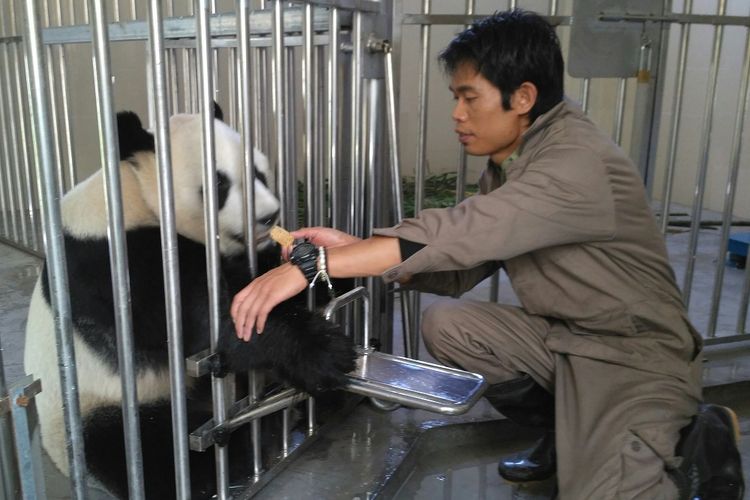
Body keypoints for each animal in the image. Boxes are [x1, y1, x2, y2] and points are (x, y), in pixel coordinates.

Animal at [25, 107, 360, 498]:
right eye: (218, 184)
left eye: (259, 172)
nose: (270, 216)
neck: (135, 194)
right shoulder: (115, 264)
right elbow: (209, 323)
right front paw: (325, 351)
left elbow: (257, 280)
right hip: (94, 407)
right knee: (150, 448)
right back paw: (253, 436)